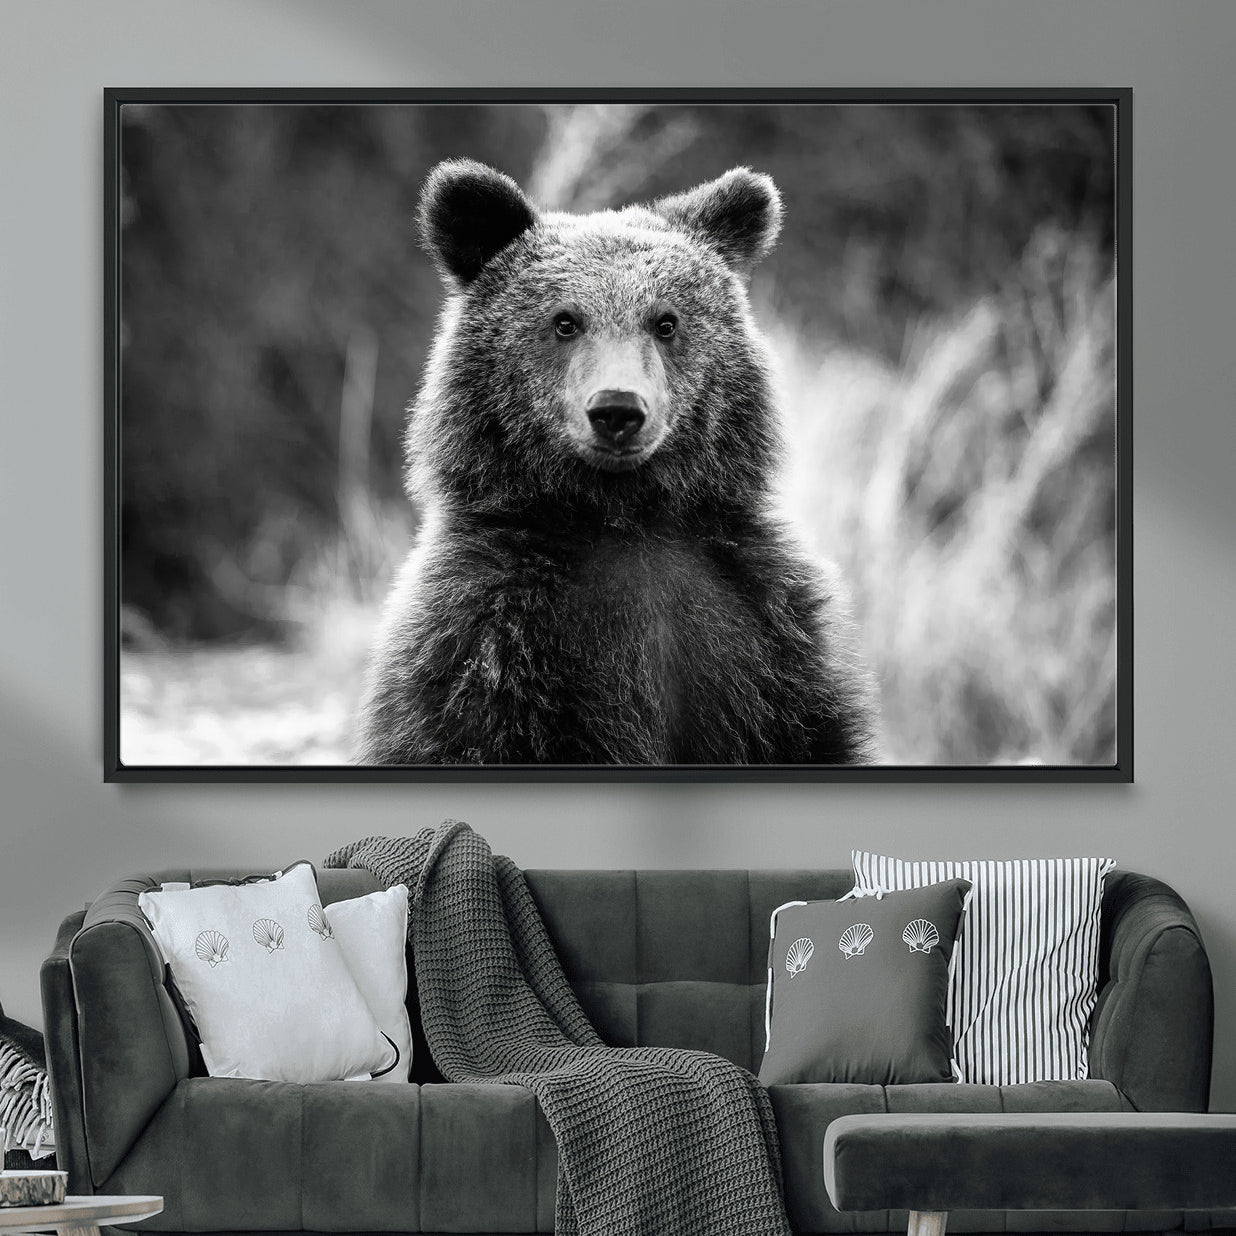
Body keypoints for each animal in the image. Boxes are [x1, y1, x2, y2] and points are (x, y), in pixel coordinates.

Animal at [356, 159, 876, 766]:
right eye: (564, 321)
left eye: (666, 321)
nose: (618, 410)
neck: (623, 517)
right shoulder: (485, 640)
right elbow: (460, 732)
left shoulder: (765, 631)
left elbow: (812, 732)